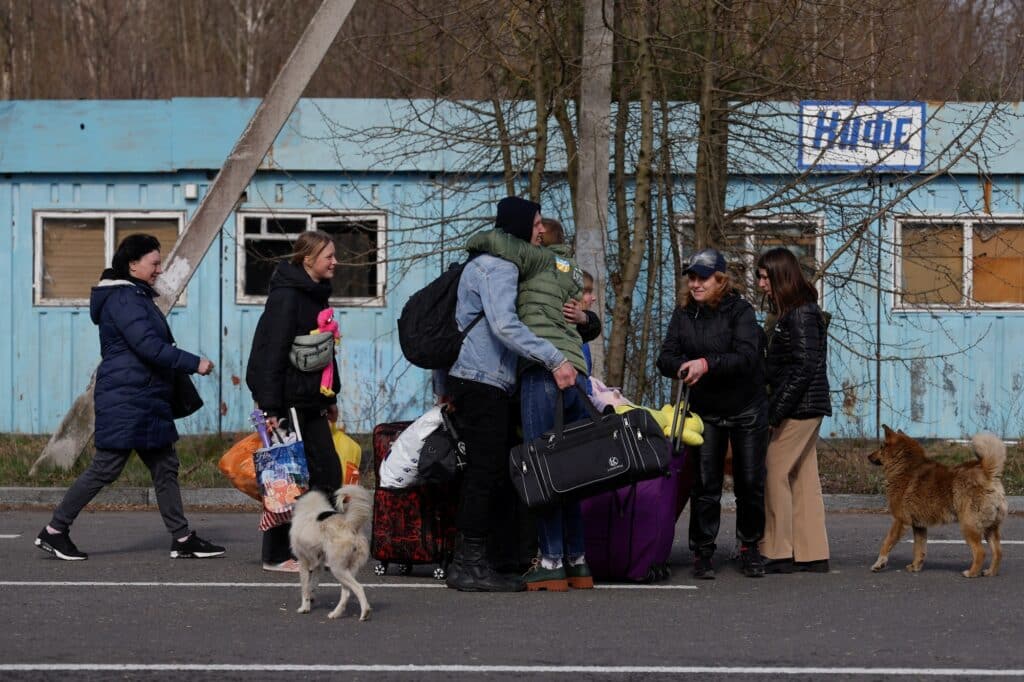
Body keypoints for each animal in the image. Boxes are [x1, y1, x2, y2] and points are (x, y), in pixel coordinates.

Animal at [288, 481, 372, 618]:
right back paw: (335, 613)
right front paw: (311, 599)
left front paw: (304, 608)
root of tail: (350, 526)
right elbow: (312, 585)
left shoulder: (303, 562)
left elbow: (305, 588)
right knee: (347, 592)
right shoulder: (318, 565)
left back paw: (364, 613)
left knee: (358, 587)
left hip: (337, 568)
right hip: (348, 569)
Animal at [872, 425, 1007, 573]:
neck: (904, 468)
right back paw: (990, 572)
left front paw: (879, 563)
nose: (868, 456)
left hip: (968, 525)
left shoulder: (900, 521)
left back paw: (971, 573)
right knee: (998, 552)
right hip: (990, 527)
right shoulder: (919, 526)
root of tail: (987, 473)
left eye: (881, 447)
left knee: (980, 552)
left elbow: (887, 542)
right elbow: (919, 549)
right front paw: (915, 566)